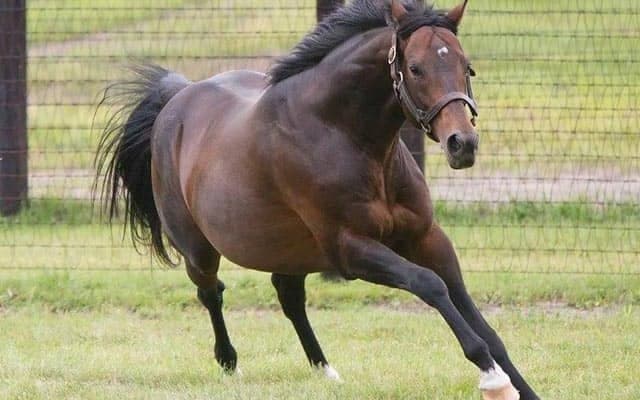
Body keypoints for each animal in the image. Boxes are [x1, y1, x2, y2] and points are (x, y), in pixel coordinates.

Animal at [95, 1, 539, 399]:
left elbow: (473, 312)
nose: (462, 144)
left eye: (467, 67)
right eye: (415, 68)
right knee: (211, 293)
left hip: (286, 248)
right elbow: (429, 285)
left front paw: (518, 385)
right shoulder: (350, 249)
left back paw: (325, 371)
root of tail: (177, 99)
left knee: (288, 295)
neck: (342, 133)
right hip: (198, 250)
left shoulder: (427, 238)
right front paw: (492, 379)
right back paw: (229, 362)